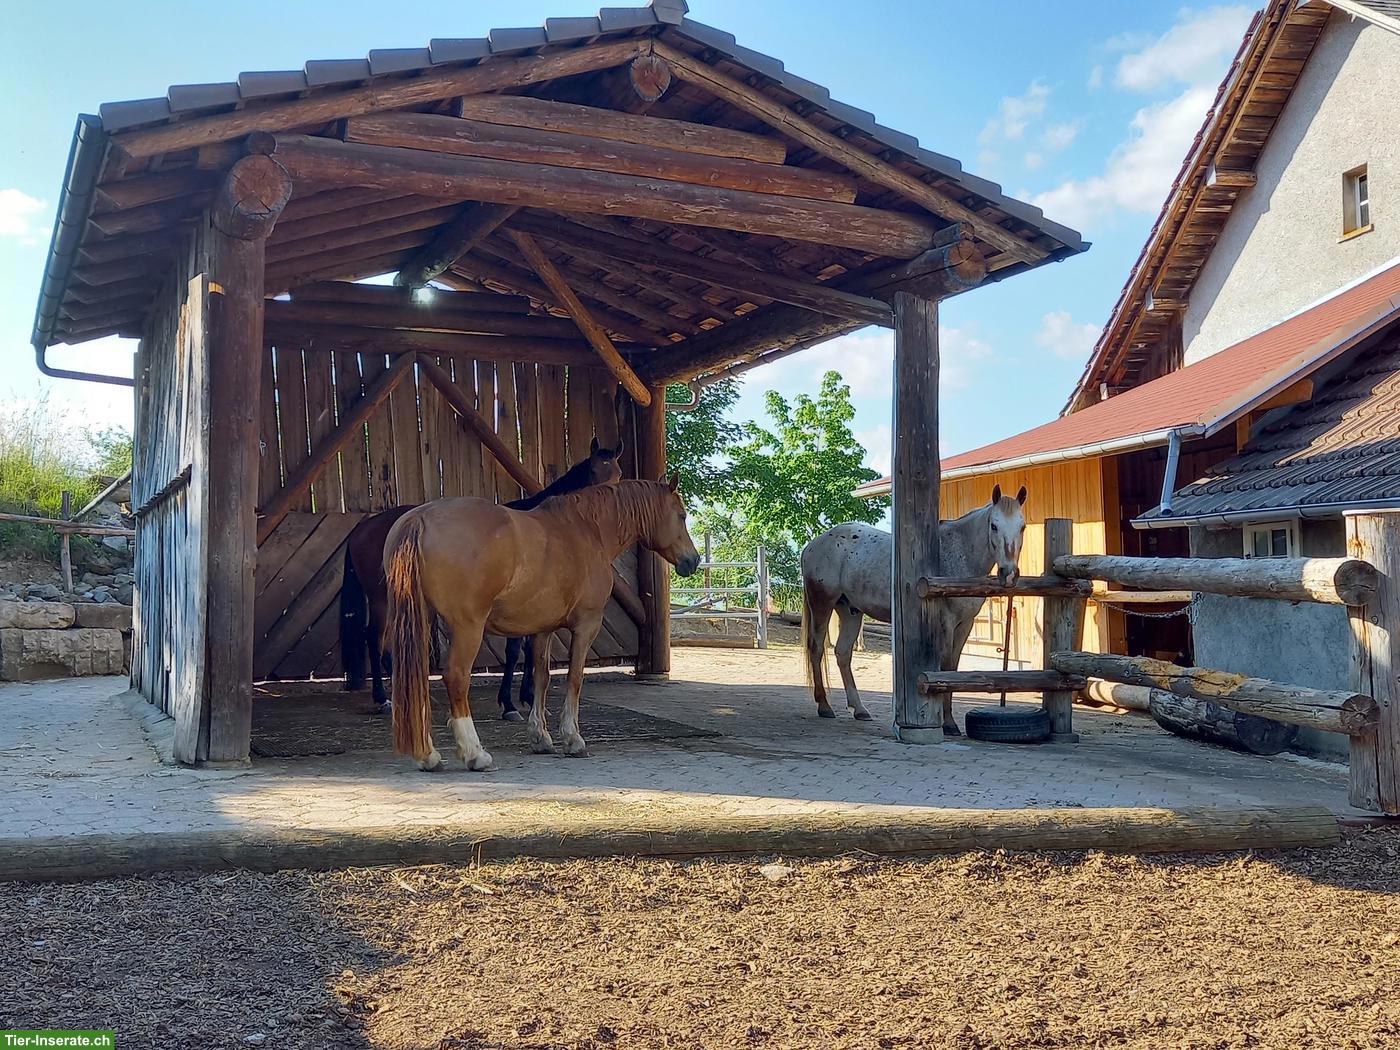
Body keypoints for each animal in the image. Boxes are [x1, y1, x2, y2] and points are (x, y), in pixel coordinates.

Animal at [339, 438, 623, 718]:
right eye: (592, 471)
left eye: (618, 475)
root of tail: (362, 528)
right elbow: (514, 651)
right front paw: (509, 703)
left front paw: (528, 696)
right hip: (382, 601)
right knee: (375, 640)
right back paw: (384, 698)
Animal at [384, 477, 701, 771]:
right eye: (681, 515)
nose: (693, 560)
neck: (587, 530)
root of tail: (419, 518)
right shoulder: (587, 625)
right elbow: (574, 678)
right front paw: (572, 739)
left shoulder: (542, 629)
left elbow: (541, 677)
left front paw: (540, 737)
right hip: (468, 627)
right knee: (457, 678)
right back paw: (475, 754)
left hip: (420, 622)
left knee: (416, 679)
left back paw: (428, 755)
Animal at [799, 485, 1027, 733]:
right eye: (994, 525)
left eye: (1022, 526)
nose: (1009, 574)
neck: (959, 554)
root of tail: (812, 545)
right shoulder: (946, 623)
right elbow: (945, 666)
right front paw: (948, 723)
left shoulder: (965, 624)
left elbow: (954, 668)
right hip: (822, 604)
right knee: (816, 649)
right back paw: (824, 705)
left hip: (850, 611)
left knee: (843, 654)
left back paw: (859, 710)